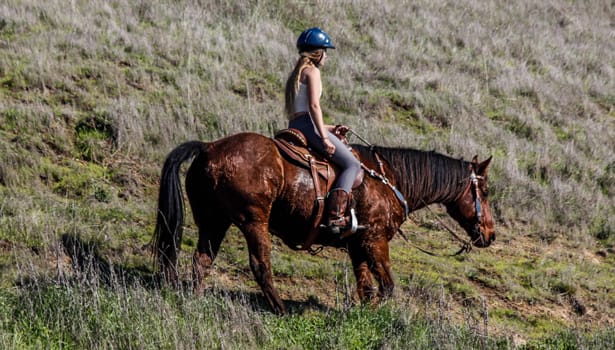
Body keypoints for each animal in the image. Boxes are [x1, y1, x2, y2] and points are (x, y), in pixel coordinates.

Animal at [153, 132, 496, 314]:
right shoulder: (374, 240)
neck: (389, 180)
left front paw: (363, 315)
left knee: (201, 260)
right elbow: (387, 286)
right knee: (260, 265)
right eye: (487, 191)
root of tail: (209, 147)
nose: (490, 235)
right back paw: (280, 309)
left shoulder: (357, 244)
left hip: (214, 222)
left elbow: (366, 287)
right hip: (253, 222)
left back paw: (194, 300)